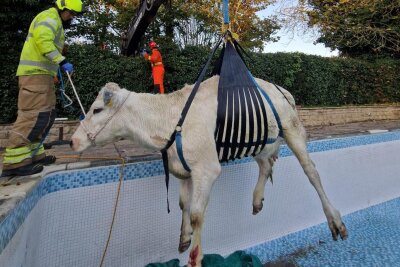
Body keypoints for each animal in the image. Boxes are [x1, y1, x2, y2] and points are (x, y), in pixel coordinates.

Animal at [71, 75, 346, 267]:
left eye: (97, 109)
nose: (73, 141)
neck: (168, 121)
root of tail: (277, 87)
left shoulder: (207, 168)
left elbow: (196, 214)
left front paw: (195, 258)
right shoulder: (184, 167)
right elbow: (183, 204)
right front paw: (183, 238)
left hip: (292, 128)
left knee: (311, 172)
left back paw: (335, 221)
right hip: (258, 140)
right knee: (266, 164)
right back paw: (257, 200)